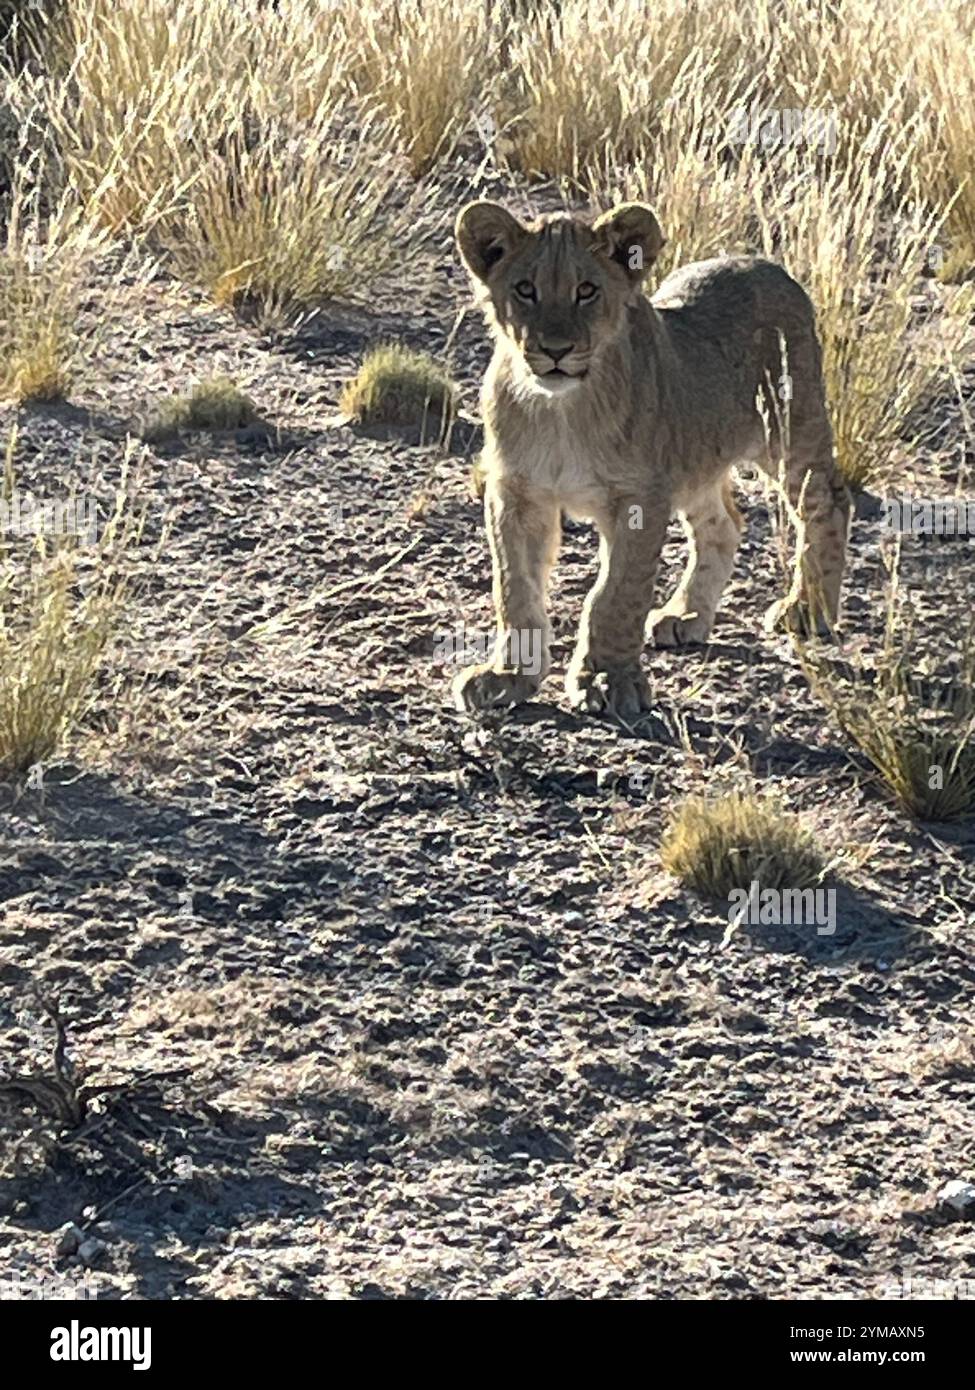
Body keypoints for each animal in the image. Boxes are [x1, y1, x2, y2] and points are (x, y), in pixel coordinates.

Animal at [452, 200, 851, 718]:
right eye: (525, 289)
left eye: (587, 290)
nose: (555, 351)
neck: (561, 409)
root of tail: (765, 264)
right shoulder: (516, 493)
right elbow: (514, 588)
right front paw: (508, 678)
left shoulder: (640, 495)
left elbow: (615, 595)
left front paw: (608, 679)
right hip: (694, 455)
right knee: (723, 525)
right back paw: (687, 615)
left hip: (790, 430)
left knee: (828, 503)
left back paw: (808, 610)